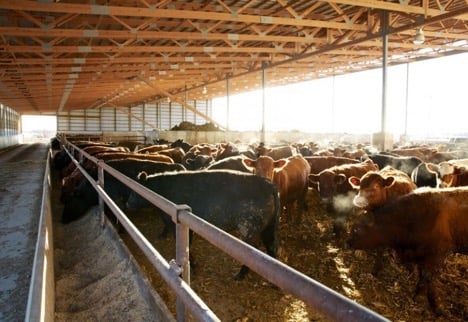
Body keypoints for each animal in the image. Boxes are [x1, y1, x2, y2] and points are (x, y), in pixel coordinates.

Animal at [125, 170, 282, 280]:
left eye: (134, 191)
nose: (127, 204)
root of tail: (270, 185)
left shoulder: (173, 223)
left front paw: (192, 268)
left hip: (248, 226)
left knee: (254, 251)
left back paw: (238, 276)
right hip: (269, 225)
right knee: (271, 245)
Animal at [348, 186, 468, 314]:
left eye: (356, 229)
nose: (347, 242)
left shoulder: (438, 253)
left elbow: (428, 276)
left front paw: (434, 304)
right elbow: (422, 274)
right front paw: (420, 294)